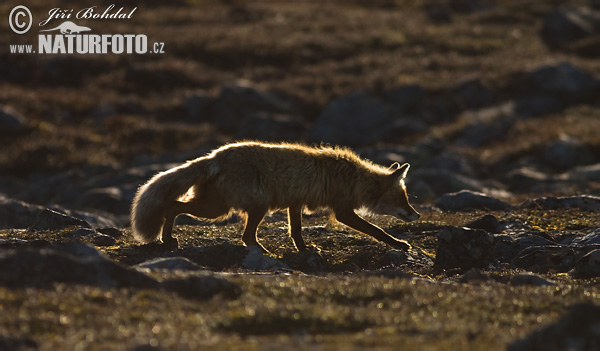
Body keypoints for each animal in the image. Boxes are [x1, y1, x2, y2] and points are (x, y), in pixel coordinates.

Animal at [131, 142, 420, 254]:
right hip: (235, 209)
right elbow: (377, 230)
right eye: (402, 199)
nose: (417, 214)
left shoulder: (296, 203)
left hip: (225, 208)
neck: (354, 179)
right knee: (174, 206)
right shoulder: (343, 212)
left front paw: (304, 250)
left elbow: (296, 231)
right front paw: (399, 244)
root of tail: (214, 156)